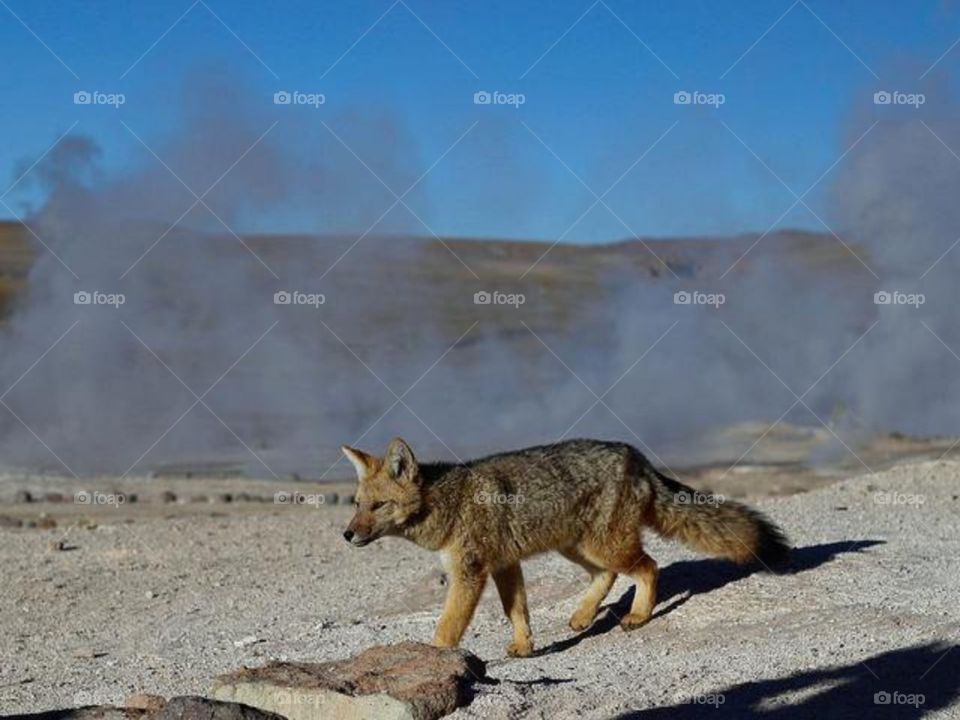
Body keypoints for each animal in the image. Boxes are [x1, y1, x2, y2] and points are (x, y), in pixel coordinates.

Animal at [341, 437, 788, 658]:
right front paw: (524, 647)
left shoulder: (469, 573)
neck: (449, 502)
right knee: (609, 575)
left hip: (603, 545)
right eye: (357, 504)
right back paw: (583, 615)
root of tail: (636, 456)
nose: (346, 535)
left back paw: (638, 615)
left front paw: (435, 657)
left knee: (648, 566)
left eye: (377, 506)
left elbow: (448, 625)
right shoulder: (505, 565)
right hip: (577, 548)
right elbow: (517, 611)